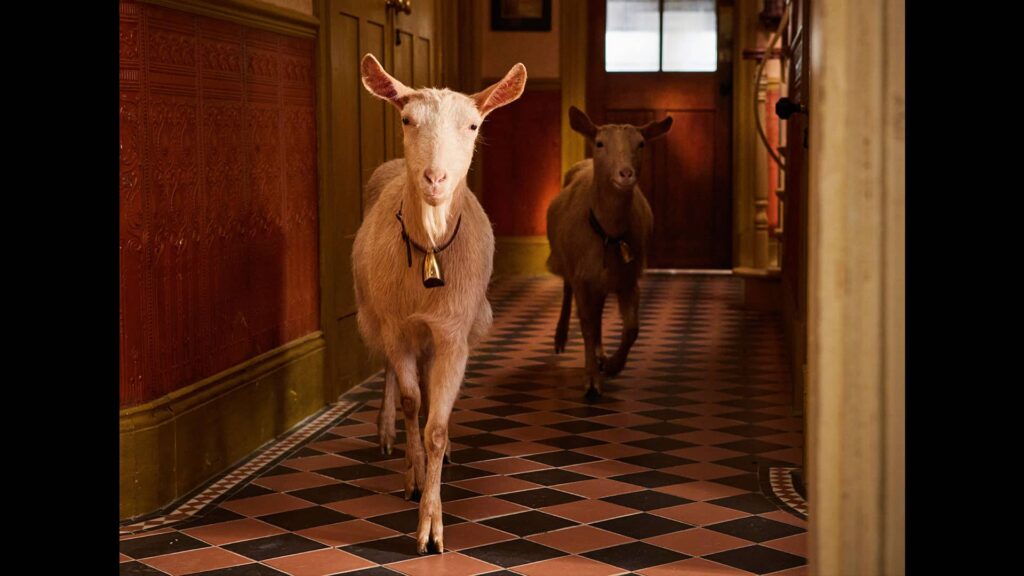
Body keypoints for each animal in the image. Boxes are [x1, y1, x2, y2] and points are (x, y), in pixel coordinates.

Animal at [352, 53, 528, 553]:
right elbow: (413, 402)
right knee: (392, 372)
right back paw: (386, 430)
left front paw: (431, 525)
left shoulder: (453, 334)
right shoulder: (395, 324)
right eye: (407, 119)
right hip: (374, 313)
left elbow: (435, 425)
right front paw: (413, 476)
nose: (435, 179)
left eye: (473, 125)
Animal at [544, 105, 671, 397]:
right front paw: (591, 381)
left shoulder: (628, 277)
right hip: (567, 261)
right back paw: (561, 337)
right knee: (568, 293)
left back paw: (602, 355)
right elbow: (587, 325)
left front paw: (613, 365)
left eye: (641, 144)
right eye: (600, 143)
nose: (625, 173)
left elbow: (632, 328)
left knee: (599, 312)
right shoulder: (582, 276)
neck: (609, 236)